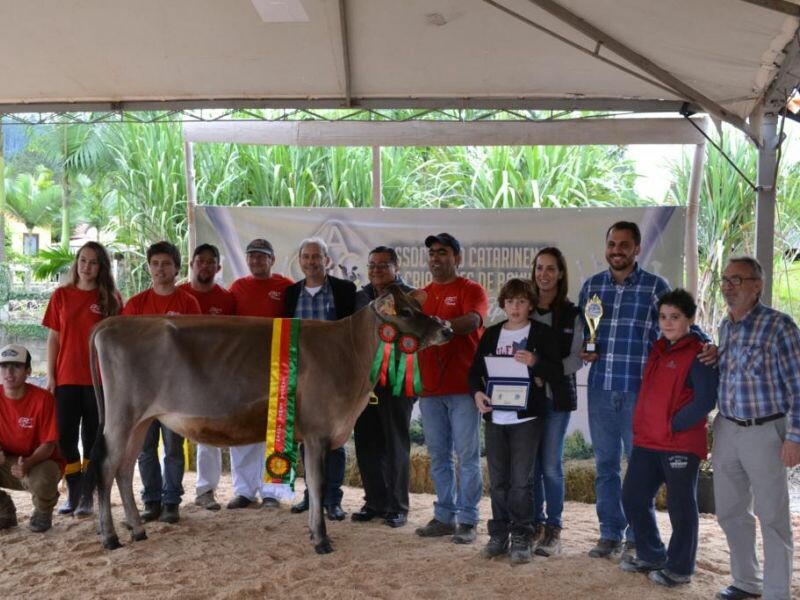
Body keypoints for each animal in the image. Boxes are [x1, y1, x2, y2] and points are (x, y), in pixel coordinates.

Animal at [89, 286, 450, 552]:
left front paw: (313, 532)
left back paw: (138, 530)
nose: (445, 328)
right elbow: (317, 484)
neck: (350, 354)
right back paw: (110, 537)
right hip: (122, 418)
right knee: (107, 468)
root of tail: (112, 324)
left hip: (140, 421)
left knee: (124, 469)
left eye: (415, 306)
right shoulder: (318, 432)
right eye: (405, 312)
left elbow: (314, 488)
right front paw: (321, 539)